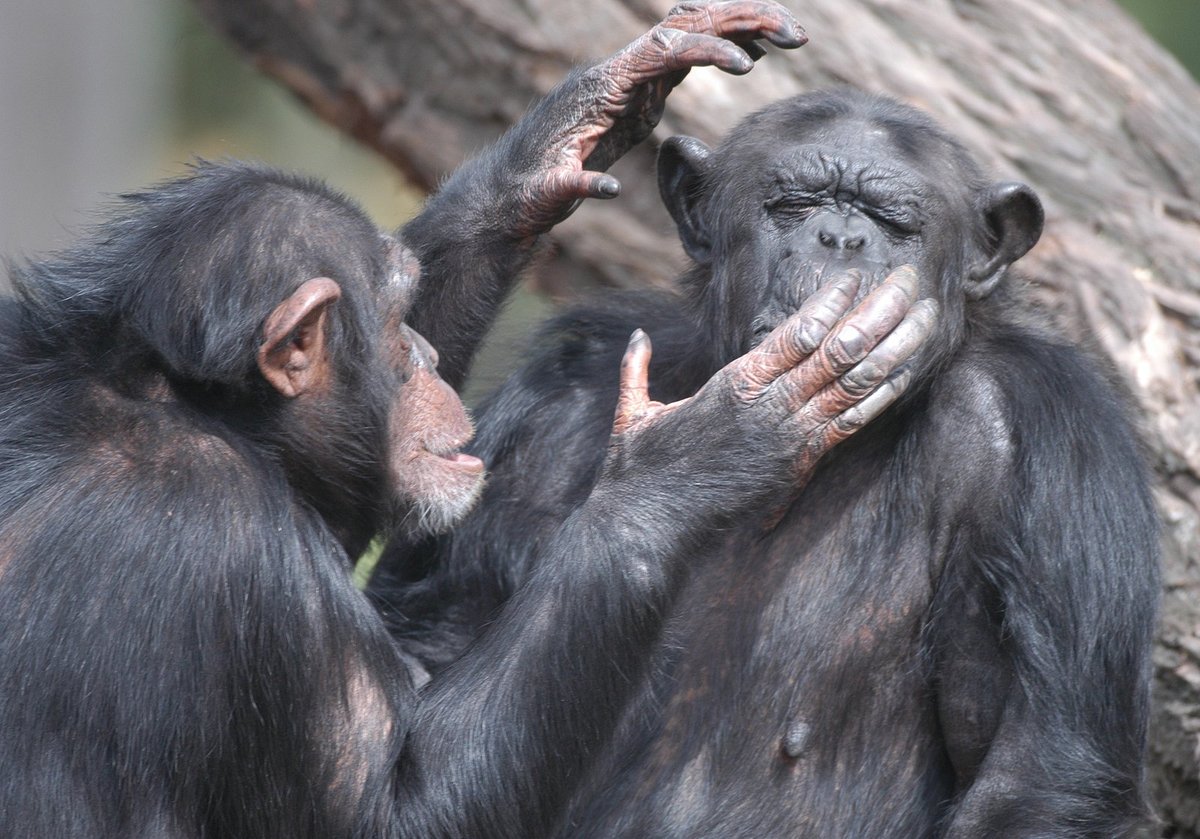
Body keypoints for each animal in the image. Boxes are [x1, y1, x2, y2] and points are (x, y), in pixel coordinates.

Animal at [0, 8, 945, 839]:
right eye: (393, 321)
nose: (421, 349)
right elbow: (404, 804)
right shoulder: (246, 555)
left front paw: (566, 133)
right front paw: (695, 458)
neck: (196, 406)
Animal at [372, 88, 1161, 835]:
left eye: (893, 221)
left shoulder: (1050, 437)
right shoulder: (555, 404)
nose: (840, 236)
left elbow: (1034, 773)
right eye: (795, 204)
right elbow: (418, 681)